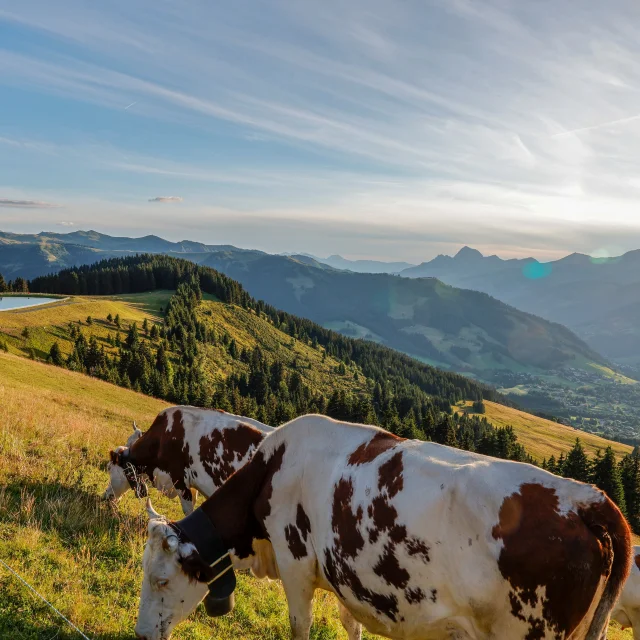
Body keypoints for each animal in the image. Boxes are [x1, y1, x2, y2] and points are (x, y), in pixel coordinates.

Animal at [134, 416, 632, 640]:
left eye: (161, 581)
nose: (140, 635)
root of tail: (585, 497)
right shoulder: (346, 579)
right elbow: (349, 624)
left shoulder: (296, 565)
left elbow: (301, 626)